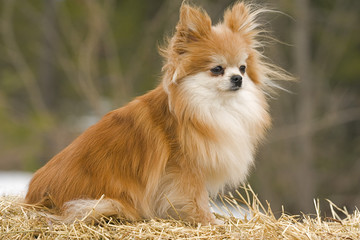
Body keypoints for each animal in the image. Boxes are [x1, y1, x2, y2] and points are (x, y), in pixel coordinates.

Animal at [24, 1, 290, 225]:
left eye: (243, 68)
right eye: (217, 69)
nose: (237, 79)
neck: (209, 106)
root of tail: (31, 200)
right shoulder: (185, 170)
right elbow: (197, 199)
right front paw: (209, 222)